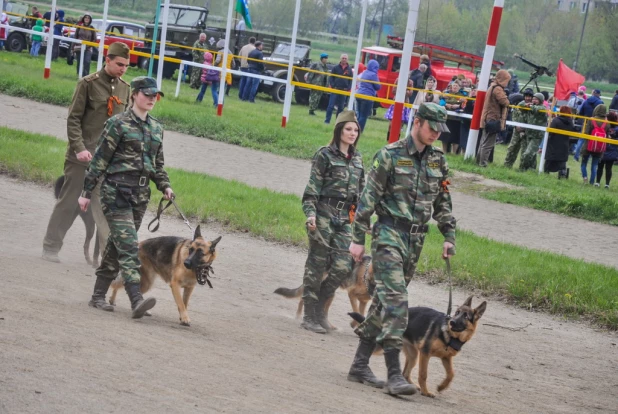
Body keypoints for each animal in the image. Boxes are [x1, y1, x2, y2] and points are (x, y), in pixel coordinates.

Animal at [346, 296, 486, 396]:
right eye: (457, 312)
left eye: (465, 316)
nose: (451, 321)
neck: (451, 336)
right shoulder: (425, 353)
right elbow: (423, 374)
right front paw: (426, 392)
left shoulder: (446, 358)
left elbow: (451, 374)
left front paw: (441, 387)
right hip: (389, 348)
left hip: (413, 356)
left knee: (405, 373)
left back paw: (410, 386)